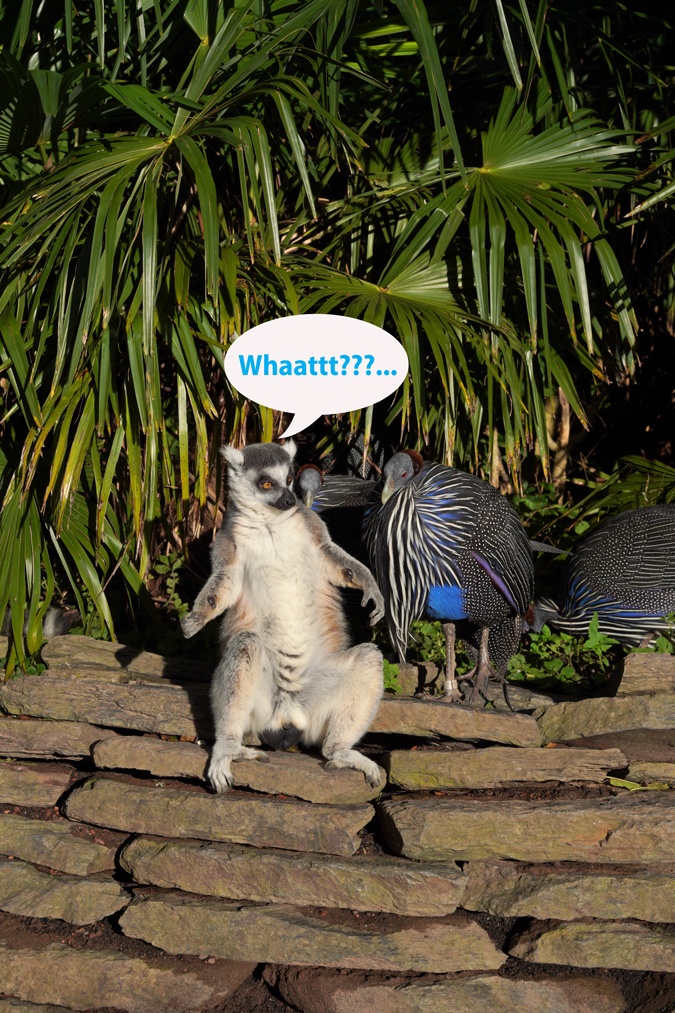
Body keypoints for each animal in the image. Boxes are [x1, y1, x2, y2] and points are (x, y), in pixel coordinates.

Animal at [180, 440, 386, 794]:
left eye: (289, 478)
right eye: (266, 483)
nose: (291, 500)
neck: (270, 522)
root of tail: (288, 715)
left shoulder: (310, 524)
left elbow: (332, 558)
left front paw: (370, 585)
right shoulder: (227, 540)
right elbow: (223, 585)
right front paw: (196, 618)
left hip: (314, 704)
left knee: (368, 658)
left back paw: (341, 752)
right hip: (261, 708)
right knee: (245, 645)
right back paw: (229, 747)